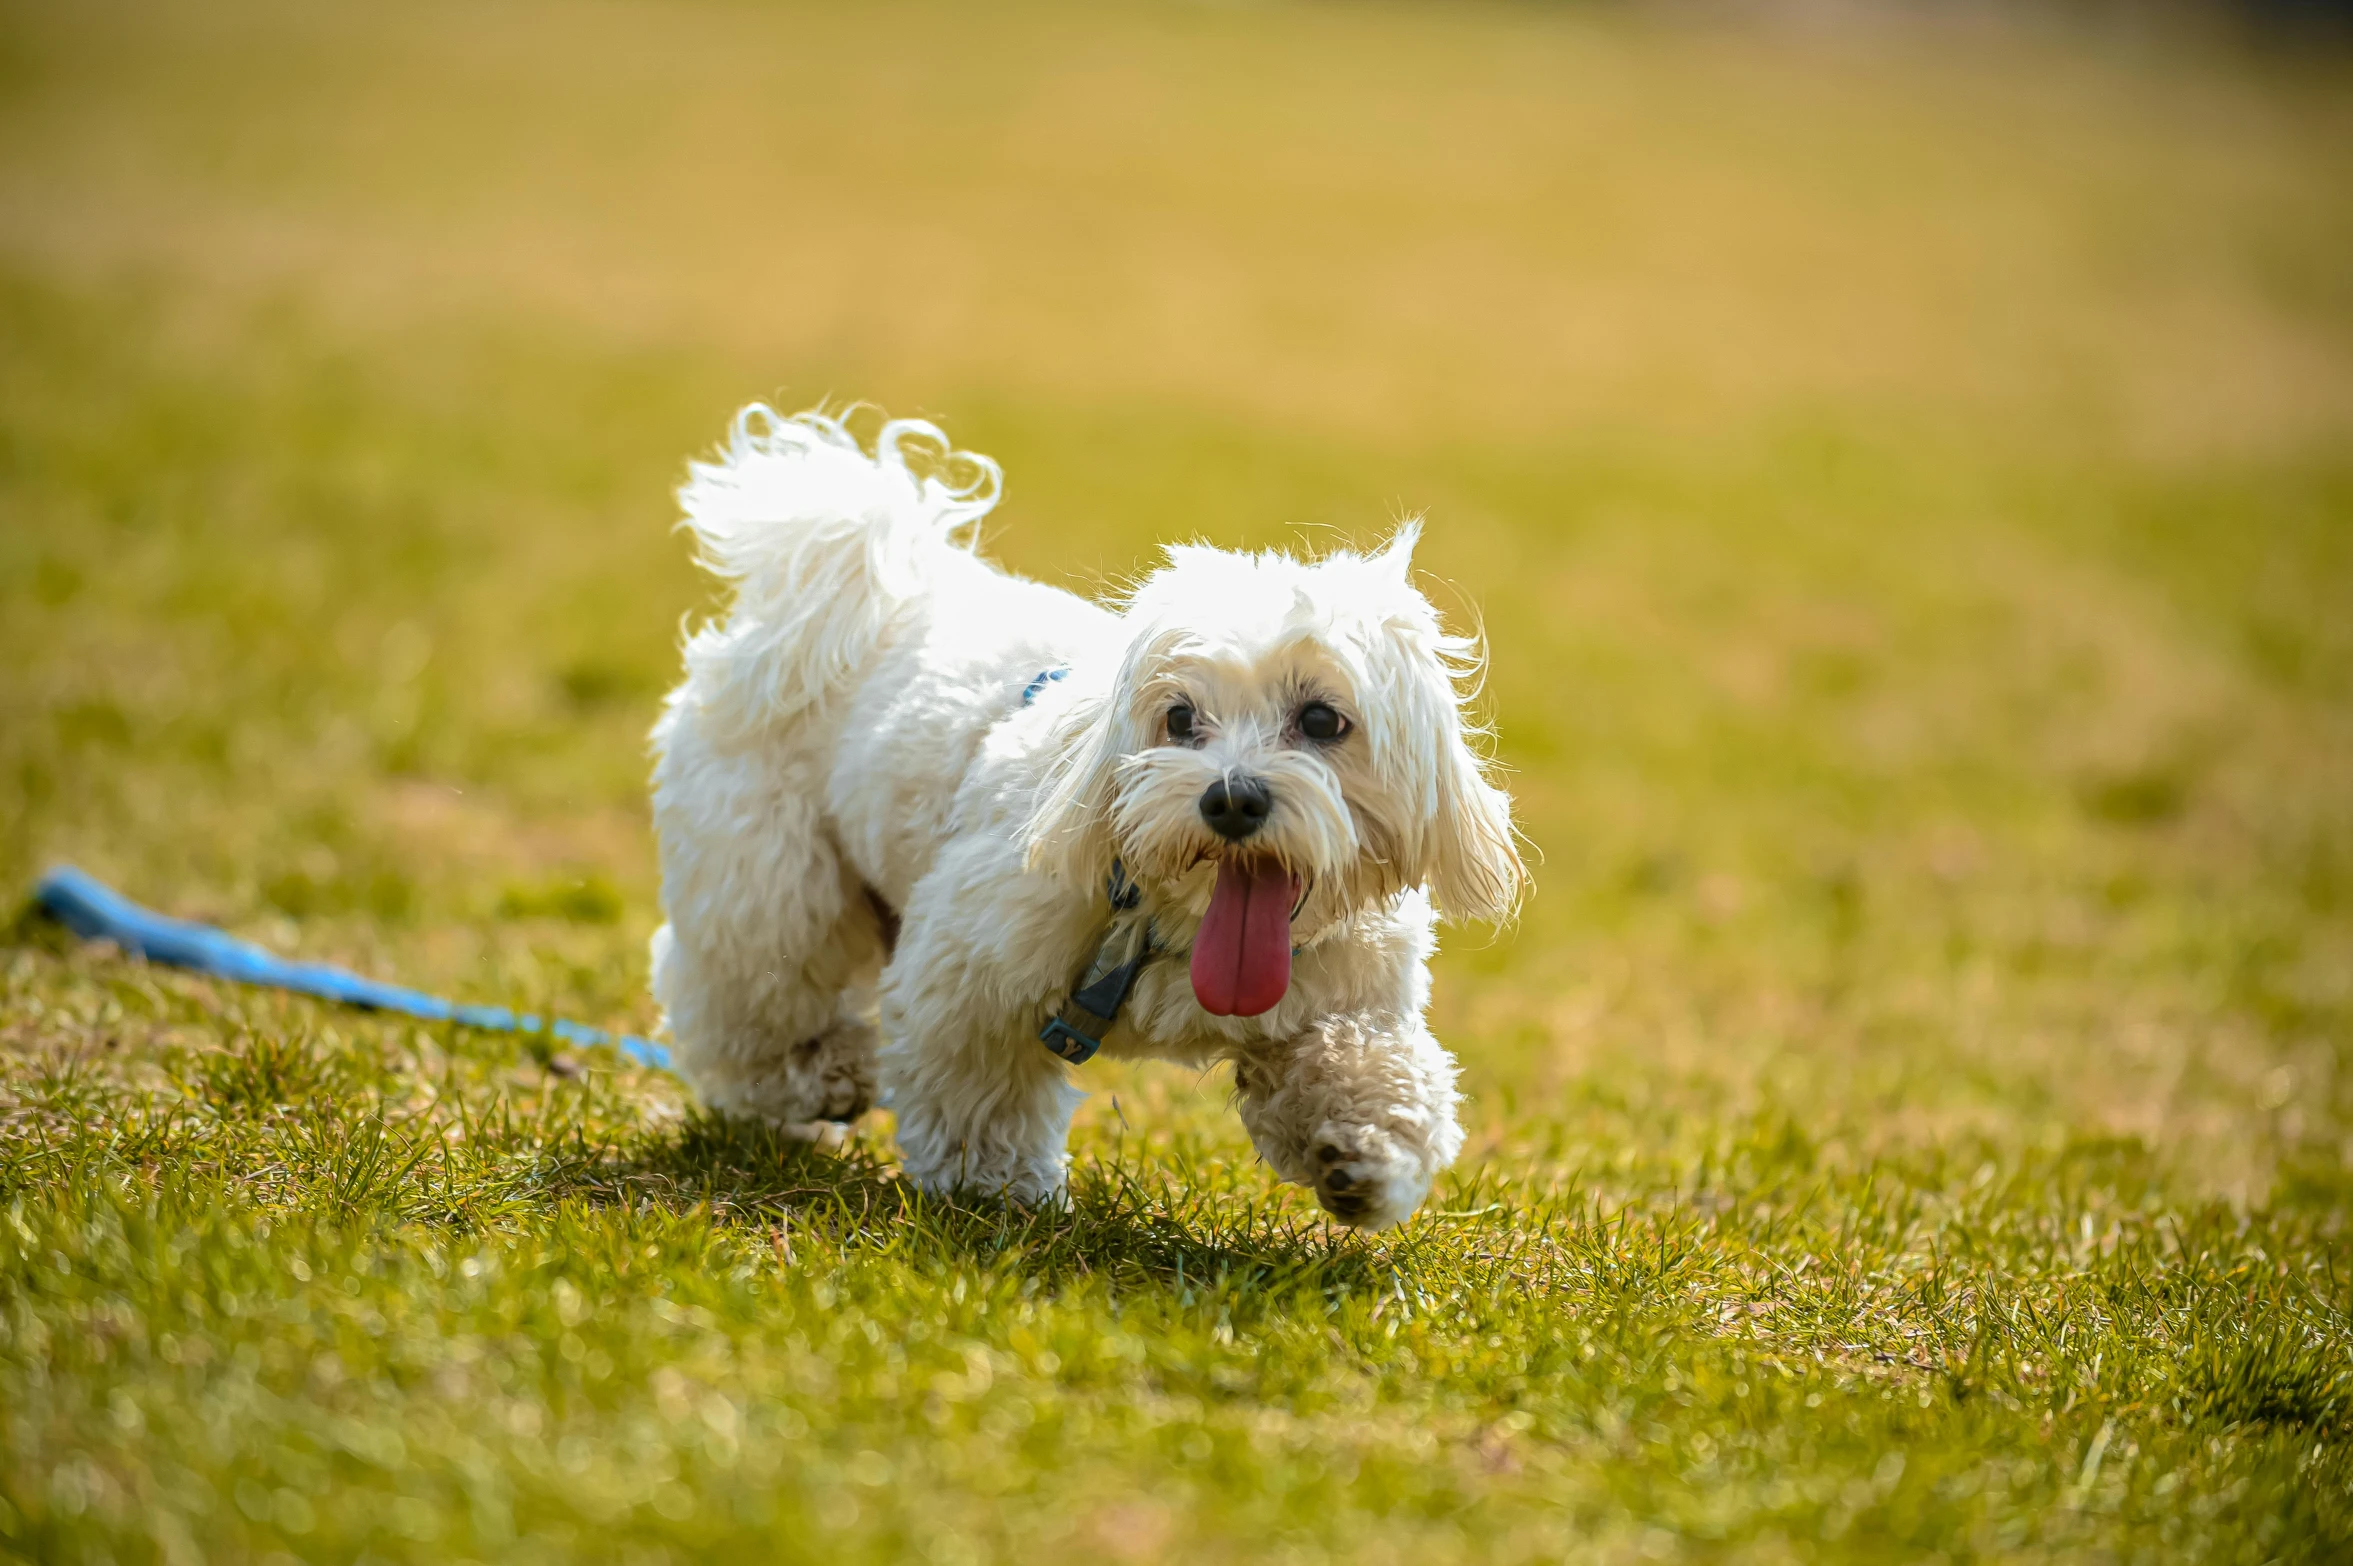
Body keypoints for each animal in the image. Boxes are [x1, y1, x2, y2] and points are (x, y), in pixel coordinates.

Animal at [649, 409, 1524, 1222]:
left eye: (1320, 720)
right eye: (1178, 718)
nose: (1230, 797)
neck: (1172, 923)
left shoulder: (1345, 995)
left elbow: (1368, 1065)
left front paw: (1364, 1152)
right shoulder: (968, 969)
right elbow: (978, 1087)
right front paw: (991, 1187)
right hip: (767, 874)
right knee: (749, 989)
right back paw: (818, 1074)